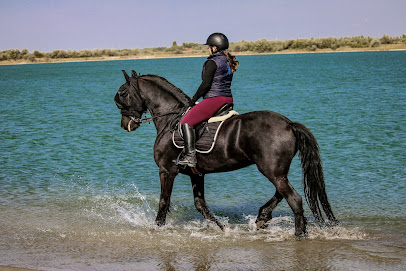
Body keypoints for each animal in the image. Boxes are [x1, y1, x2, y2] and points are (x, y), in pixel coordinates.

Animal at [114, 70, 336, 238]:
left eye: (122, 93)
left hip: (271, 171)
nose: (126, 125)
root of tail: (288, 124)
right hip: (277, 171)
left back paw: (298, 233)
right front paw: (222, 229)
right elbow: (201, 205)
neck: (170, 120)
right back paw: (263, 217)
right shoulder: (196, 174)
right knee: (282, 193)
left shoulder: (166, 171)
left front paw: (157, 228)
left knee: (293, 198)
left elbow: (163, 202)